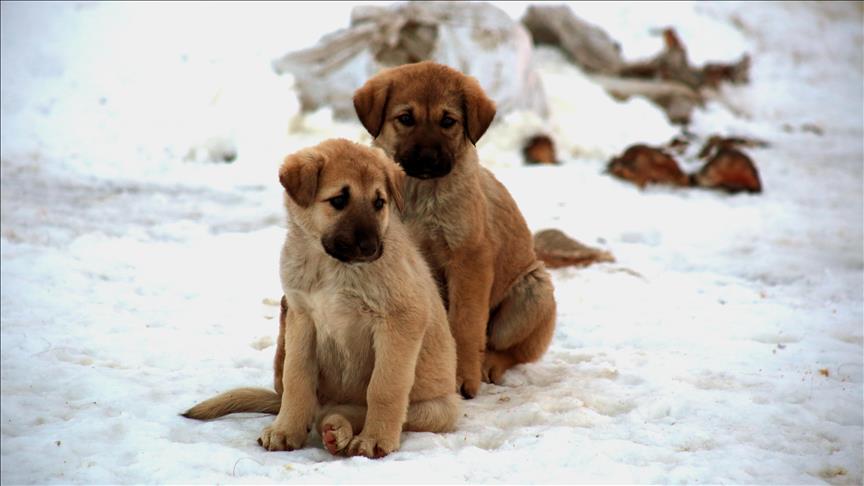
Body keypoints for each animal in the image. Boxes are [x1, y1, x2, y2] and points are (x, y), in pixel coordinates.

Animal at [184, 139, 460, 458]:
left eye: (379, 203)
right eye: (339, 200)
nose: (370, 248)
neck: (331, 265)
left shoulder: (400, 320)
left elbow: (383, 387)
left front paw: (375, 438)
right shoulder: (302, 319)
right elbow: (296, 379)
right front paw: (286, 430)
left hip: (438, 409)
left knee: (354, 410)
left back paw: (338, 429)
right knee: (320, 409)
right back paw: (333, 428)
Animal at [352, 60, 560, 398]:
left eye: (448, 121)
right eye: (406, 118)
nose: (427, 159)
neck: (420, 194)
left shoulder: (469, 259)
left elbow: (464, 325)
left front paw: (461, 376)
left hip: (533, 292)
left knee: (511, 350)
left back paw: (489, 365)